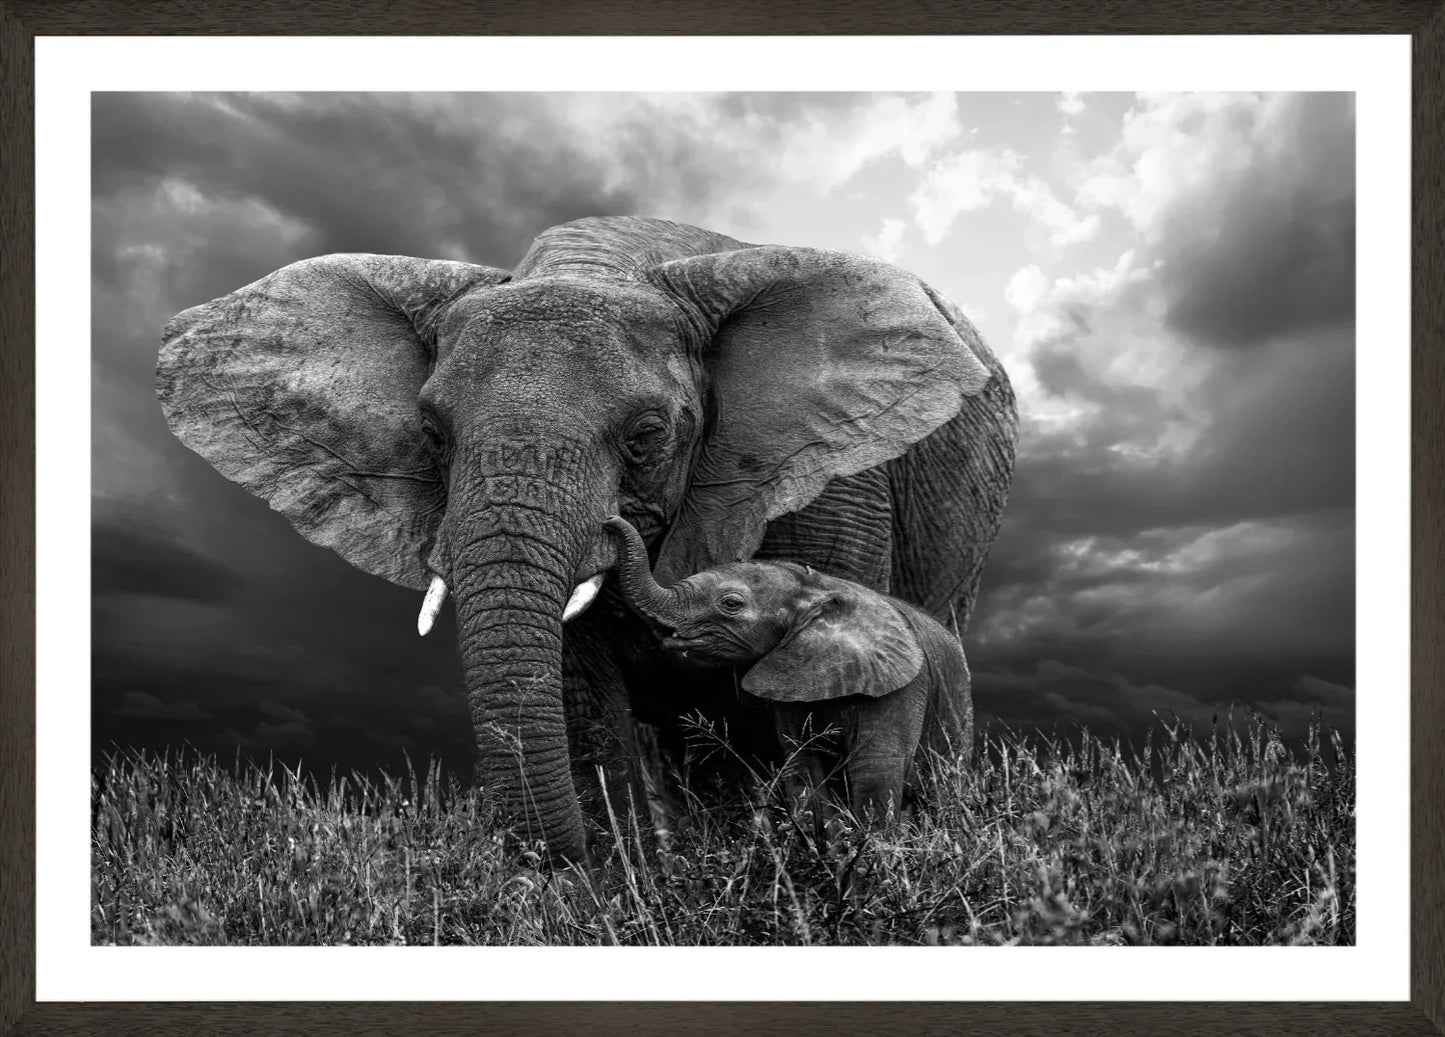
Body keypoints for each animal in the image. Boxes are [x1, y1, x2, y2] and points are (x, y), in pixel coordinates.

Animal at [606, 515, 971, 833]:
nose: (610, 521)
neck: (816, 589)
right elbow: (803, 766)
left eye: (731, 604)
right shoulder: (791, 681)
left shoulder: (900, 687)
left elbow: (875, 769)